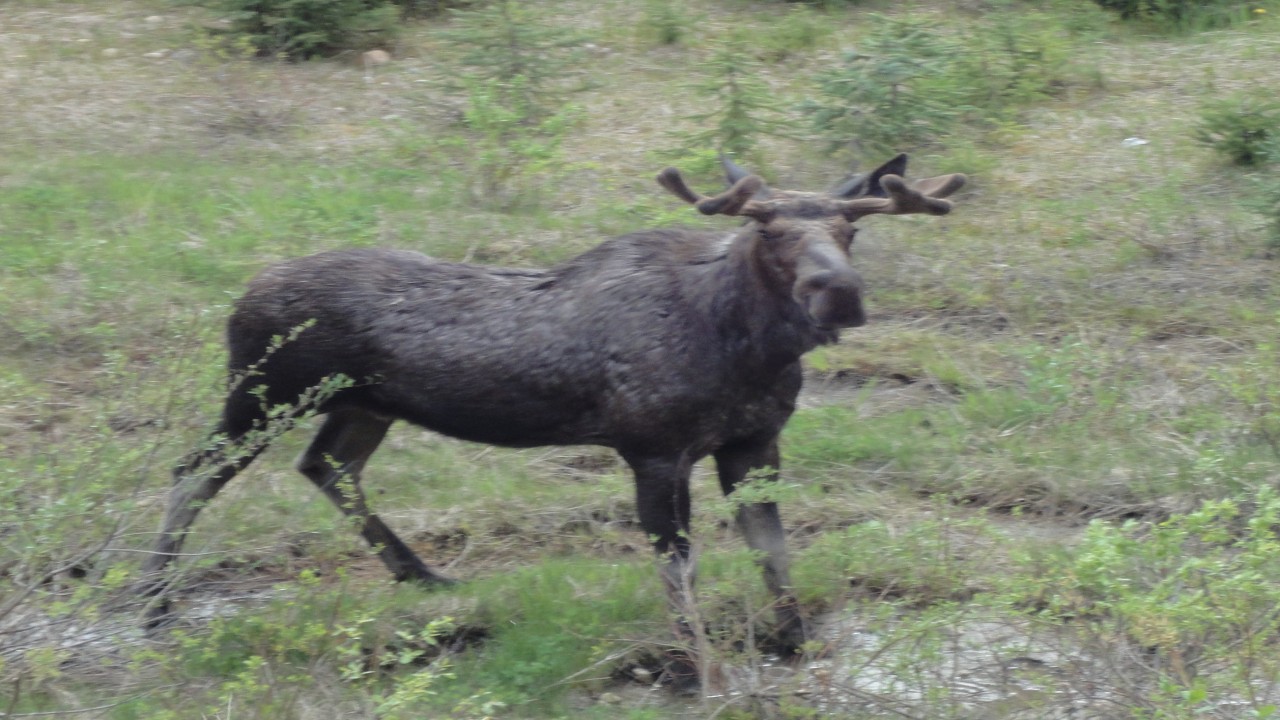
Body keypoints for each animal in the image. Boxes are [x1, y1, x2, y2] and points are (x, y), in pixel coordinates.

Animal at [140, 154, 965, 686]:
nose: (839, 292)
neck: (747, 348)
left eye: (852, 232)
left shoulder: (754, 443)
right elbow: (681, 568)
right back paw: (153, 605)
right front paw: (700, 665)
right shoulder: (654, 449)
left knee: (327, 466)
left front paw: (793, 644)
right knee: (193, 473)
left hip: (362, 405)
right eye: (771, 234)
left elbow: (774, 553)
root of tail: (240, 297)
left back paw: (422, 574)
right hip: (263, 393)